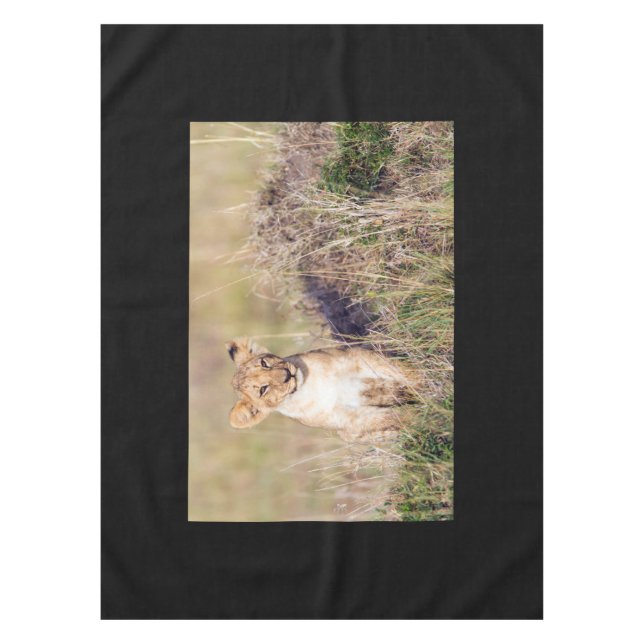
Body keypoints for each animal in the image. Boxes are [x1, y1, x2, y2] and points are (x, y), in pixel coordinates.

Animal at [225, 337, 418, 442]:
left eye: (264, 363)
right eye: (262, 390)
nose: (287, 374)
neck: (310, 386)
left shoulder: (358, 358)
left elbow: (406, 373)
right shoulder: (351, 419)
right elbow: (392, 417)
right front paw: (420, 417)